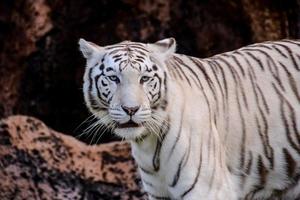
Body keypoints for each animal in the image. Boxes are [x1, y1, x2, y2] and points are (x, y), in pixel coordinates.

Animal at [78, 38, 298, 200]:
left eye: (145, 79)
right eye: (113, 78)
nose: (130, 109)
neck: (148, 143)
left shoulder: (207, 190)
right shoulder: (158, 194)